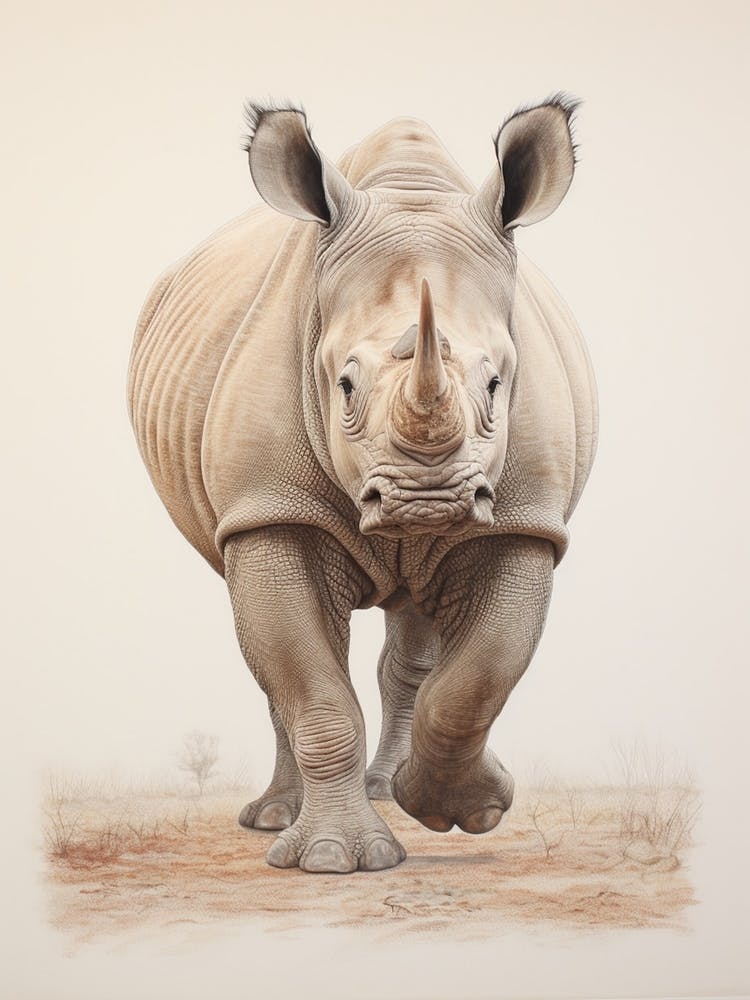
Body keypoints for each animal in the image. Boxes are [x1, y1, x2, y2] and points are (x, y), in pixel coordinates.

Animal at [127, 96, 598, 873]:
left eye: (497, 385)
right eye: (343, 385)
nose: (426, 500)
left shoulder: (523, 518)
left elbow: (479, 678)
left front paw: (466, 809)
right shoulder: (269, 510)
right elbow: (310, 683)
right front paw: (332, 859)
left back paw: (390, 793)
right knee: (274, 655)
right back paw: (276, 818)